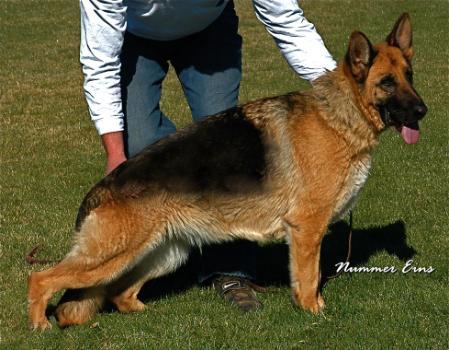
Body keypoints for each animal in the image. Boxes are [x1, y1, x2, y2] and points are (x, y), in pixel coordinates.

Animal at [28, 13, 428, 330]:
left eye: (409, 76)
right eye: (387, 83)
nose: (423, 111)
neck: (341, 116)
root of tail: (104, 187)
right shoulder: (306, 228)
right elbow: (309, 277)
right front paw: (314, 313)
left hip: (163, 254)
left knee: (121, 293)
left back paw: (147, 314)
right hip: (109, 257)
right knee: (41, 278)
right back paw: (40, 327)